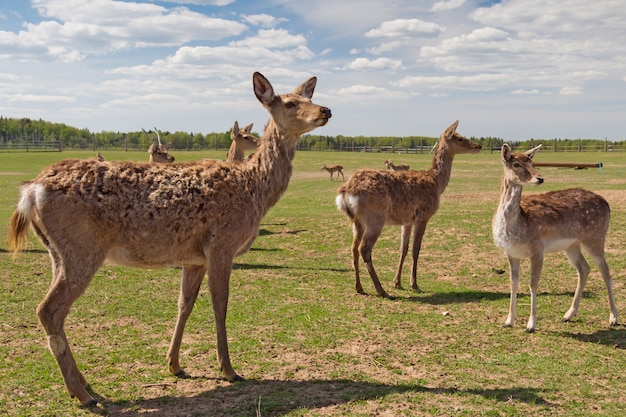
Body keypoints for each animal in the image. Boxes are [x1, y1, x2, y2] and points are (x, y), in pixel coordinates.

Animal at [8, 71, 332, 404]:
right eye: (290, 103)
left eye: (308, 97)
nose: (326, 110)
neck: (254, 189)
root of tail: (30, 191)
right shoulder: (222, 245)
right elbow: (220, 305)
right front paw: (229, 370)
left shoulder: (194, 258)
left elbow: (184, 304)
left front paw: (174, 364)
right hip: (82, 249)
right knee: (49, 310)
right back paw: (83, 394)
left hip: (57, 252)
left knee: (52, 310)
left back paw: (84, 385)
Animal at [336, 118, 478, 298]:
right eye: (459, 138)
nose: (478, 145)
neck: (436, 183)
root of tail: (346, 191)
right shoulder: (423, 216)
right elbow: (416, 249)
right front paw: (414, 285)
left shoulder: (407, 220)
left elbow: (403, 248)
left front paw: (397, 282)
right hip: (375, 217)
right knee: (364, 248)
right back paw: (381, 290)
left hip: (357, 221)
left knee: (353, 247)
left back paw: (359, 288)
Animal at [492, 143, 620, 332]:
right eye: (516, 164)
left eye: (532, 162)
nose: (539, 178)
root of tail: (607, 204)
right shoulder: (511, 253)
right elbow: (513, 283)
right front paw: (508, 321)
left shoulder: (538, 249)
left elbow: (533, 283)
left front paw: (531, 325)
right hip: (572, 245)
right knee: (584, 268)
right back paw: (568, 314)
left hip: (596, 237)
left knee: (606, 271)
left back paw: (613, 317)